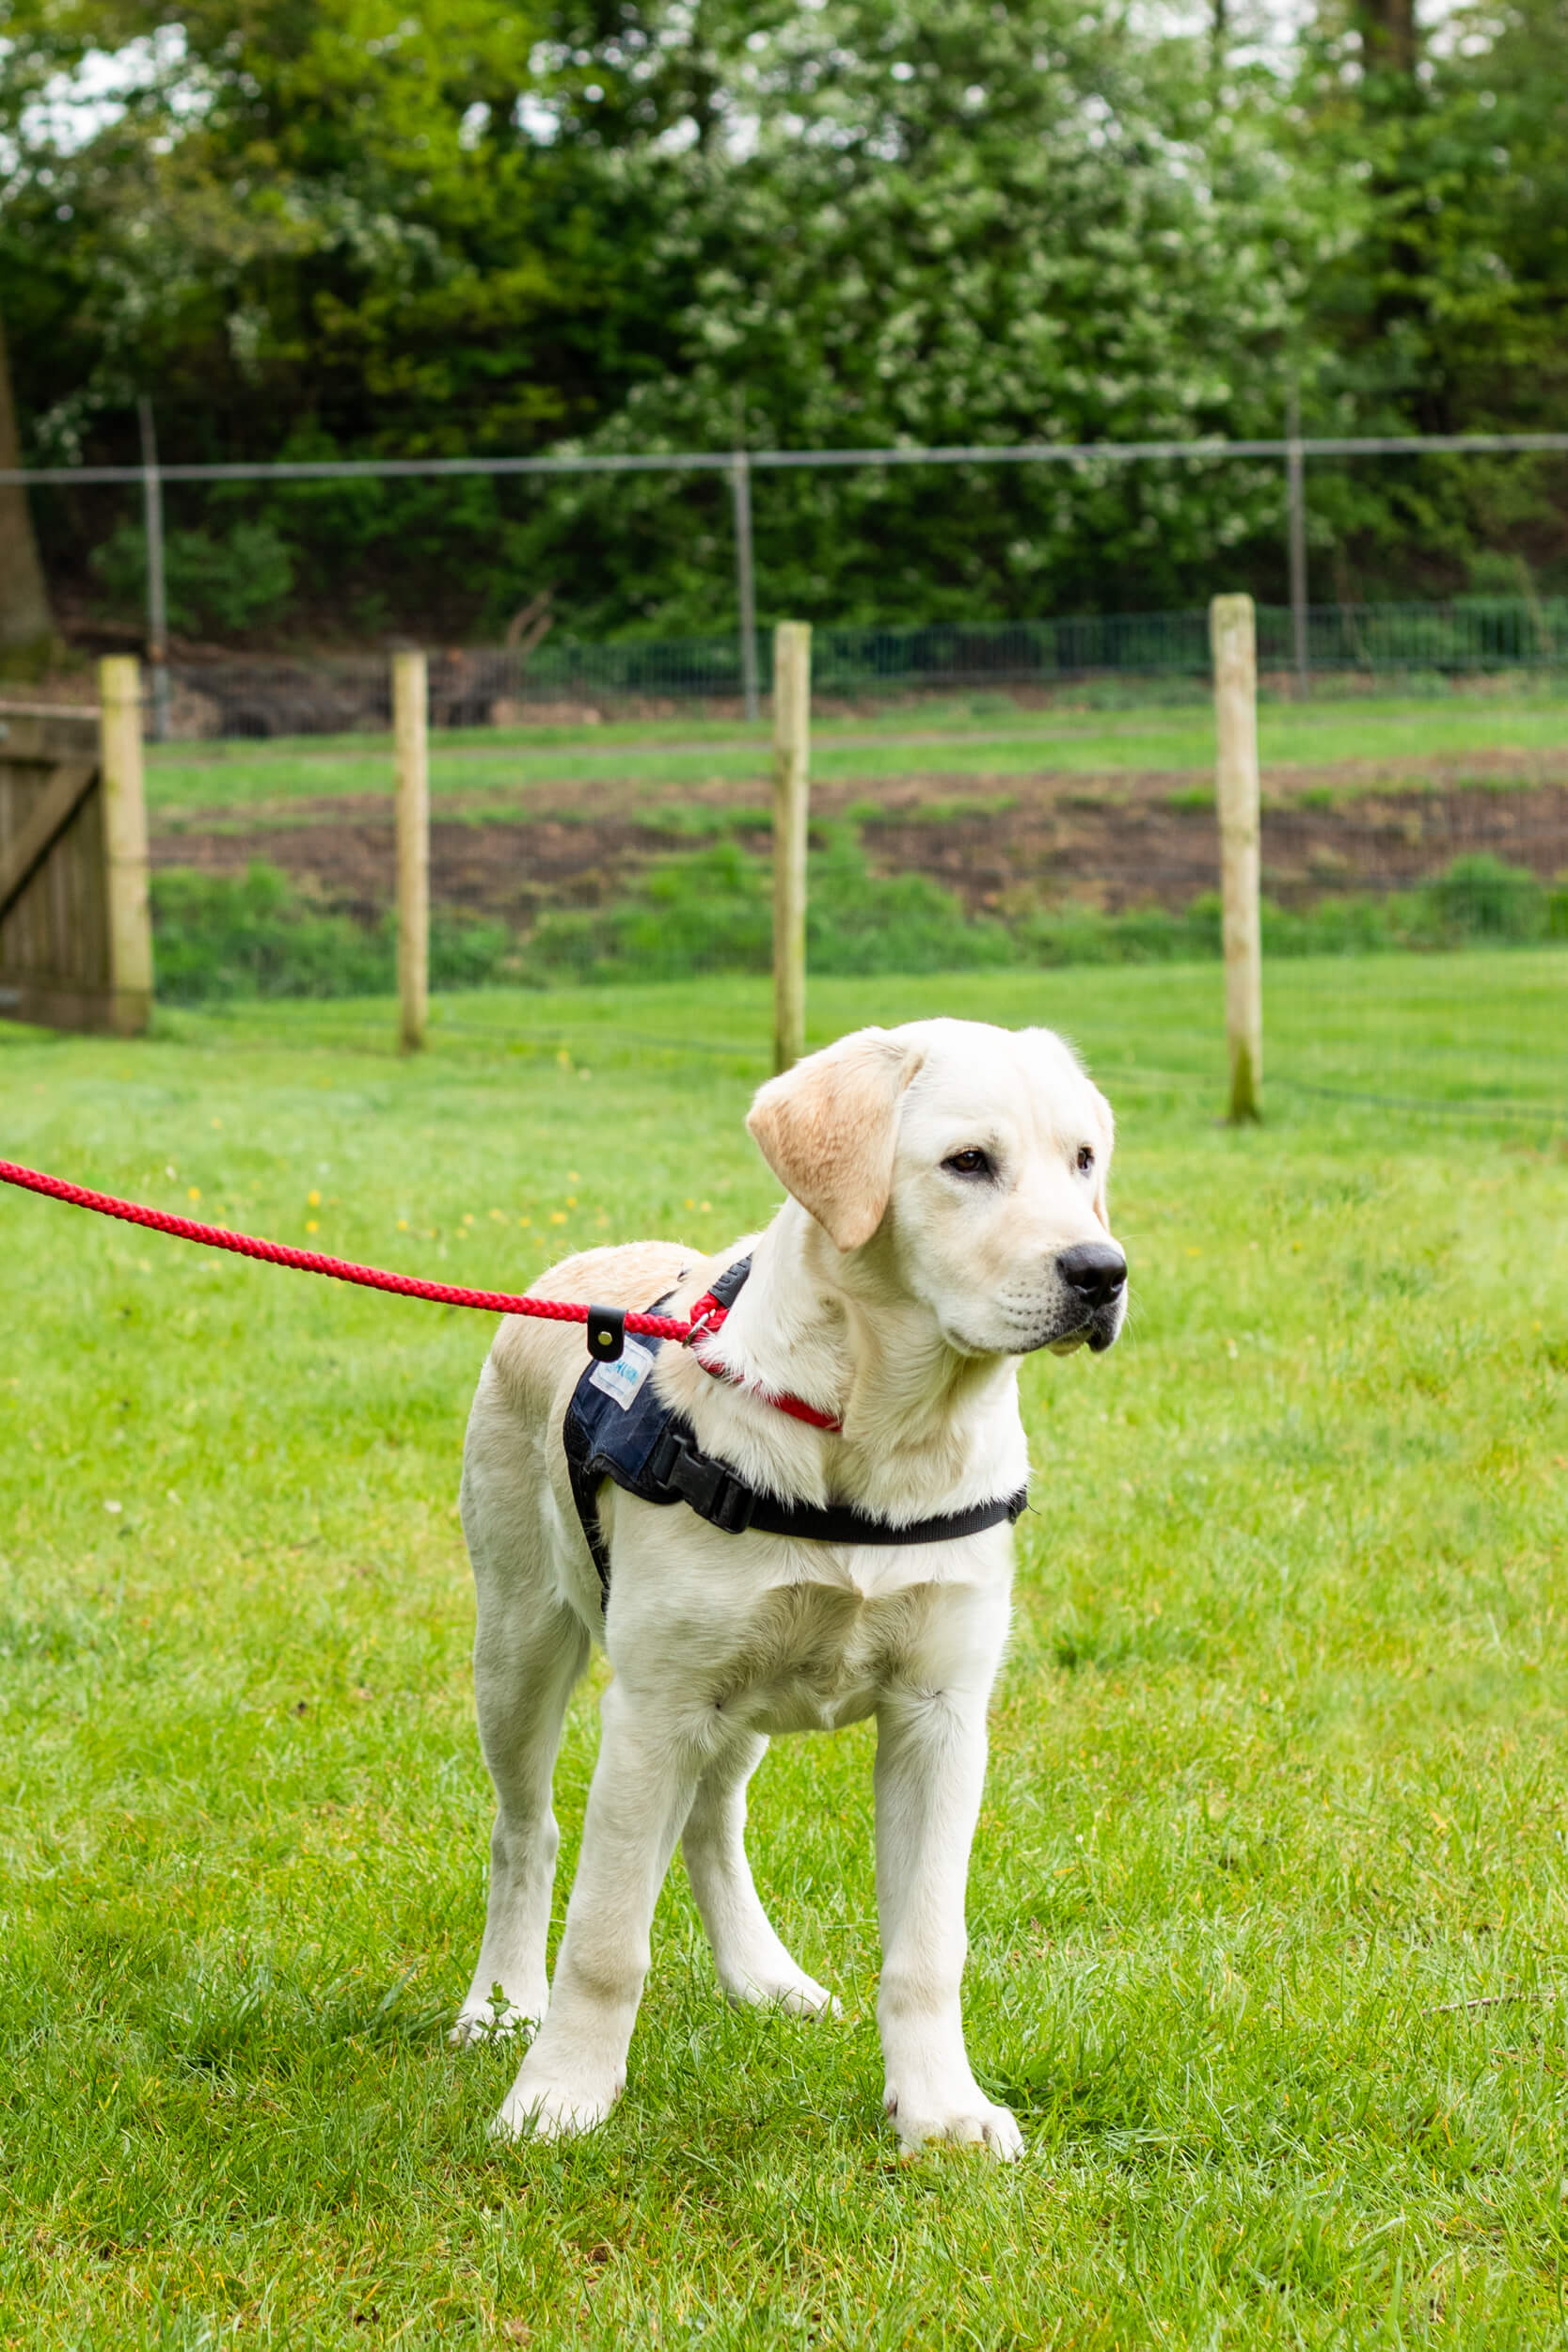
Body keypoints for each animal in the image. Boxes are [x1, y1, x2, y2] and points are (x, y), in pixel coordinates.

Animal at [453, 1021, 1128, 2154]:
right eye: (967, 1162)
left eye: (1082, 1161)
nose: (1101, 1271)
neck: (881, 1433)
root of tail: (577, 1267)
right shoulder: (653, 1706)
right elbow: (604, 1936)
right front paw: (560, 2096)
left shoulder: (940, 1716)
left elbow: (926, 1946)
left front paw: (940, 2110)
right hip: (519, 1643)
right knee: (526, 1831)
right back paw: (500, 2004)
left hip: (736, 1700)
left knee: (710, 1821)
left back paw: (760, 1976)